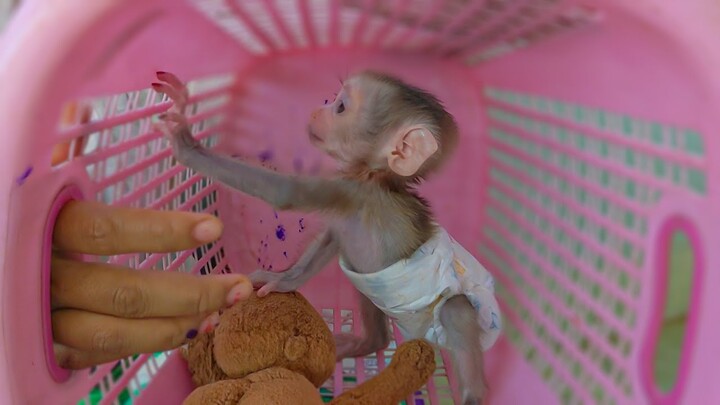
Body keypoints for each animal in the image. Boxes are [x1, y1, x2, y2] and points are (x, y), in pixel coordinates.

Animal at [152, 69, 500, 400]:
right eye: (333, 100)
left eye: (341, 107)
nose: (317, 110)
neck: (374, 177)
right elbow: (330, 241)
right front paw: (283, 279)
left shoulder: (350, 191)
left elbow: (285, 193)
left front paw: (185, 142)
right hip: (375, 290)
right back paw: (367, 343)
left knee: (456, 311)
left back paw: (472, 394)